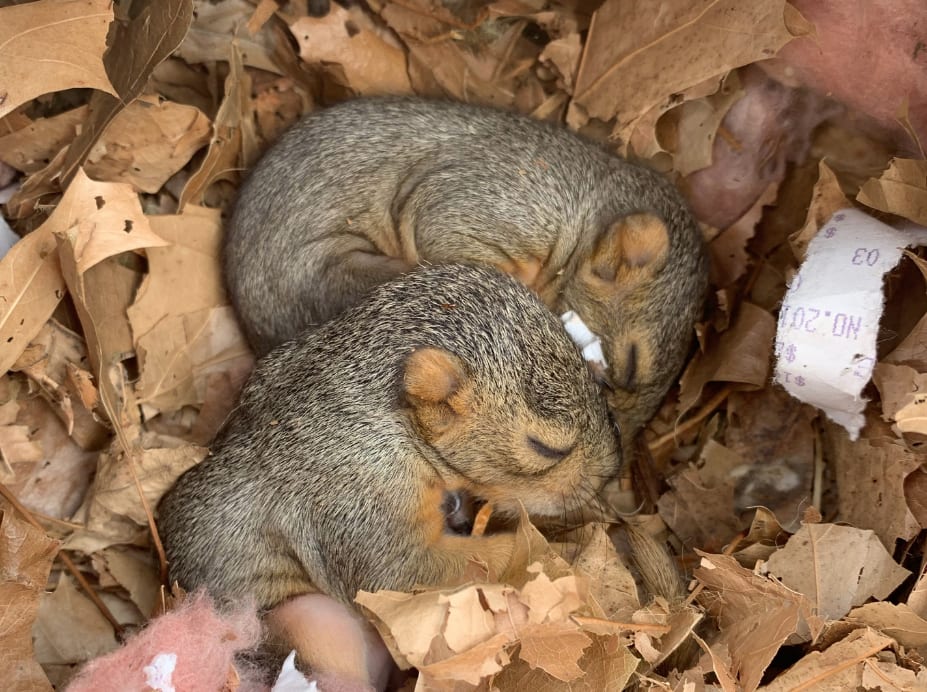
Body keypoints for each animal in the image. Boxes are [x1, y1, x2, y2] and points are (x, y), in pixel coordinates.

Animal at [158, 264, 624, 688]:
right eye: (546, 448)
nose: (610, 471)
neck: (395, 422)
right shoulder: (357, 491)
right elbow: (403, 570)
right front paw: (549, 559)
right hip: (313, 625)